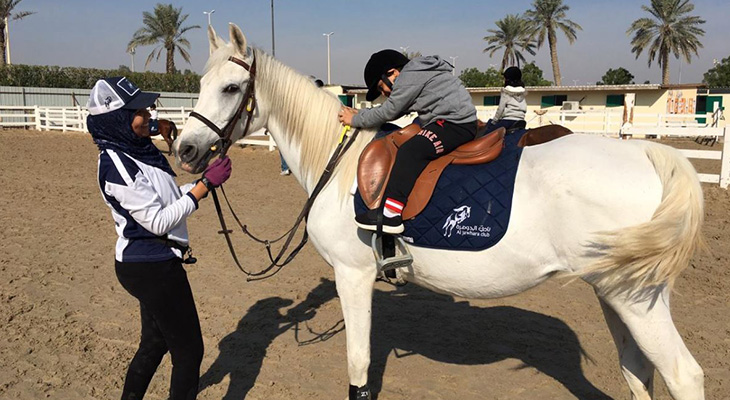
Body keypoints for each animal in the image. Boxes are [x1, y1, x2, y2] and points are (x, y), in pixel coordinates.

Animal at [174, 24, 705, 400]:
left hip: (636, 300)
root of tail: (648, 155)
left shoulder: (352, 275)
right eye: (200, 82)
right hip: (614, 294)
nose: (184, 149)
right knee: (638, 374)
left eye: (231, 87)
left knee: (684, 376)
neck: (340, 162)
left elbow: (358, 366)